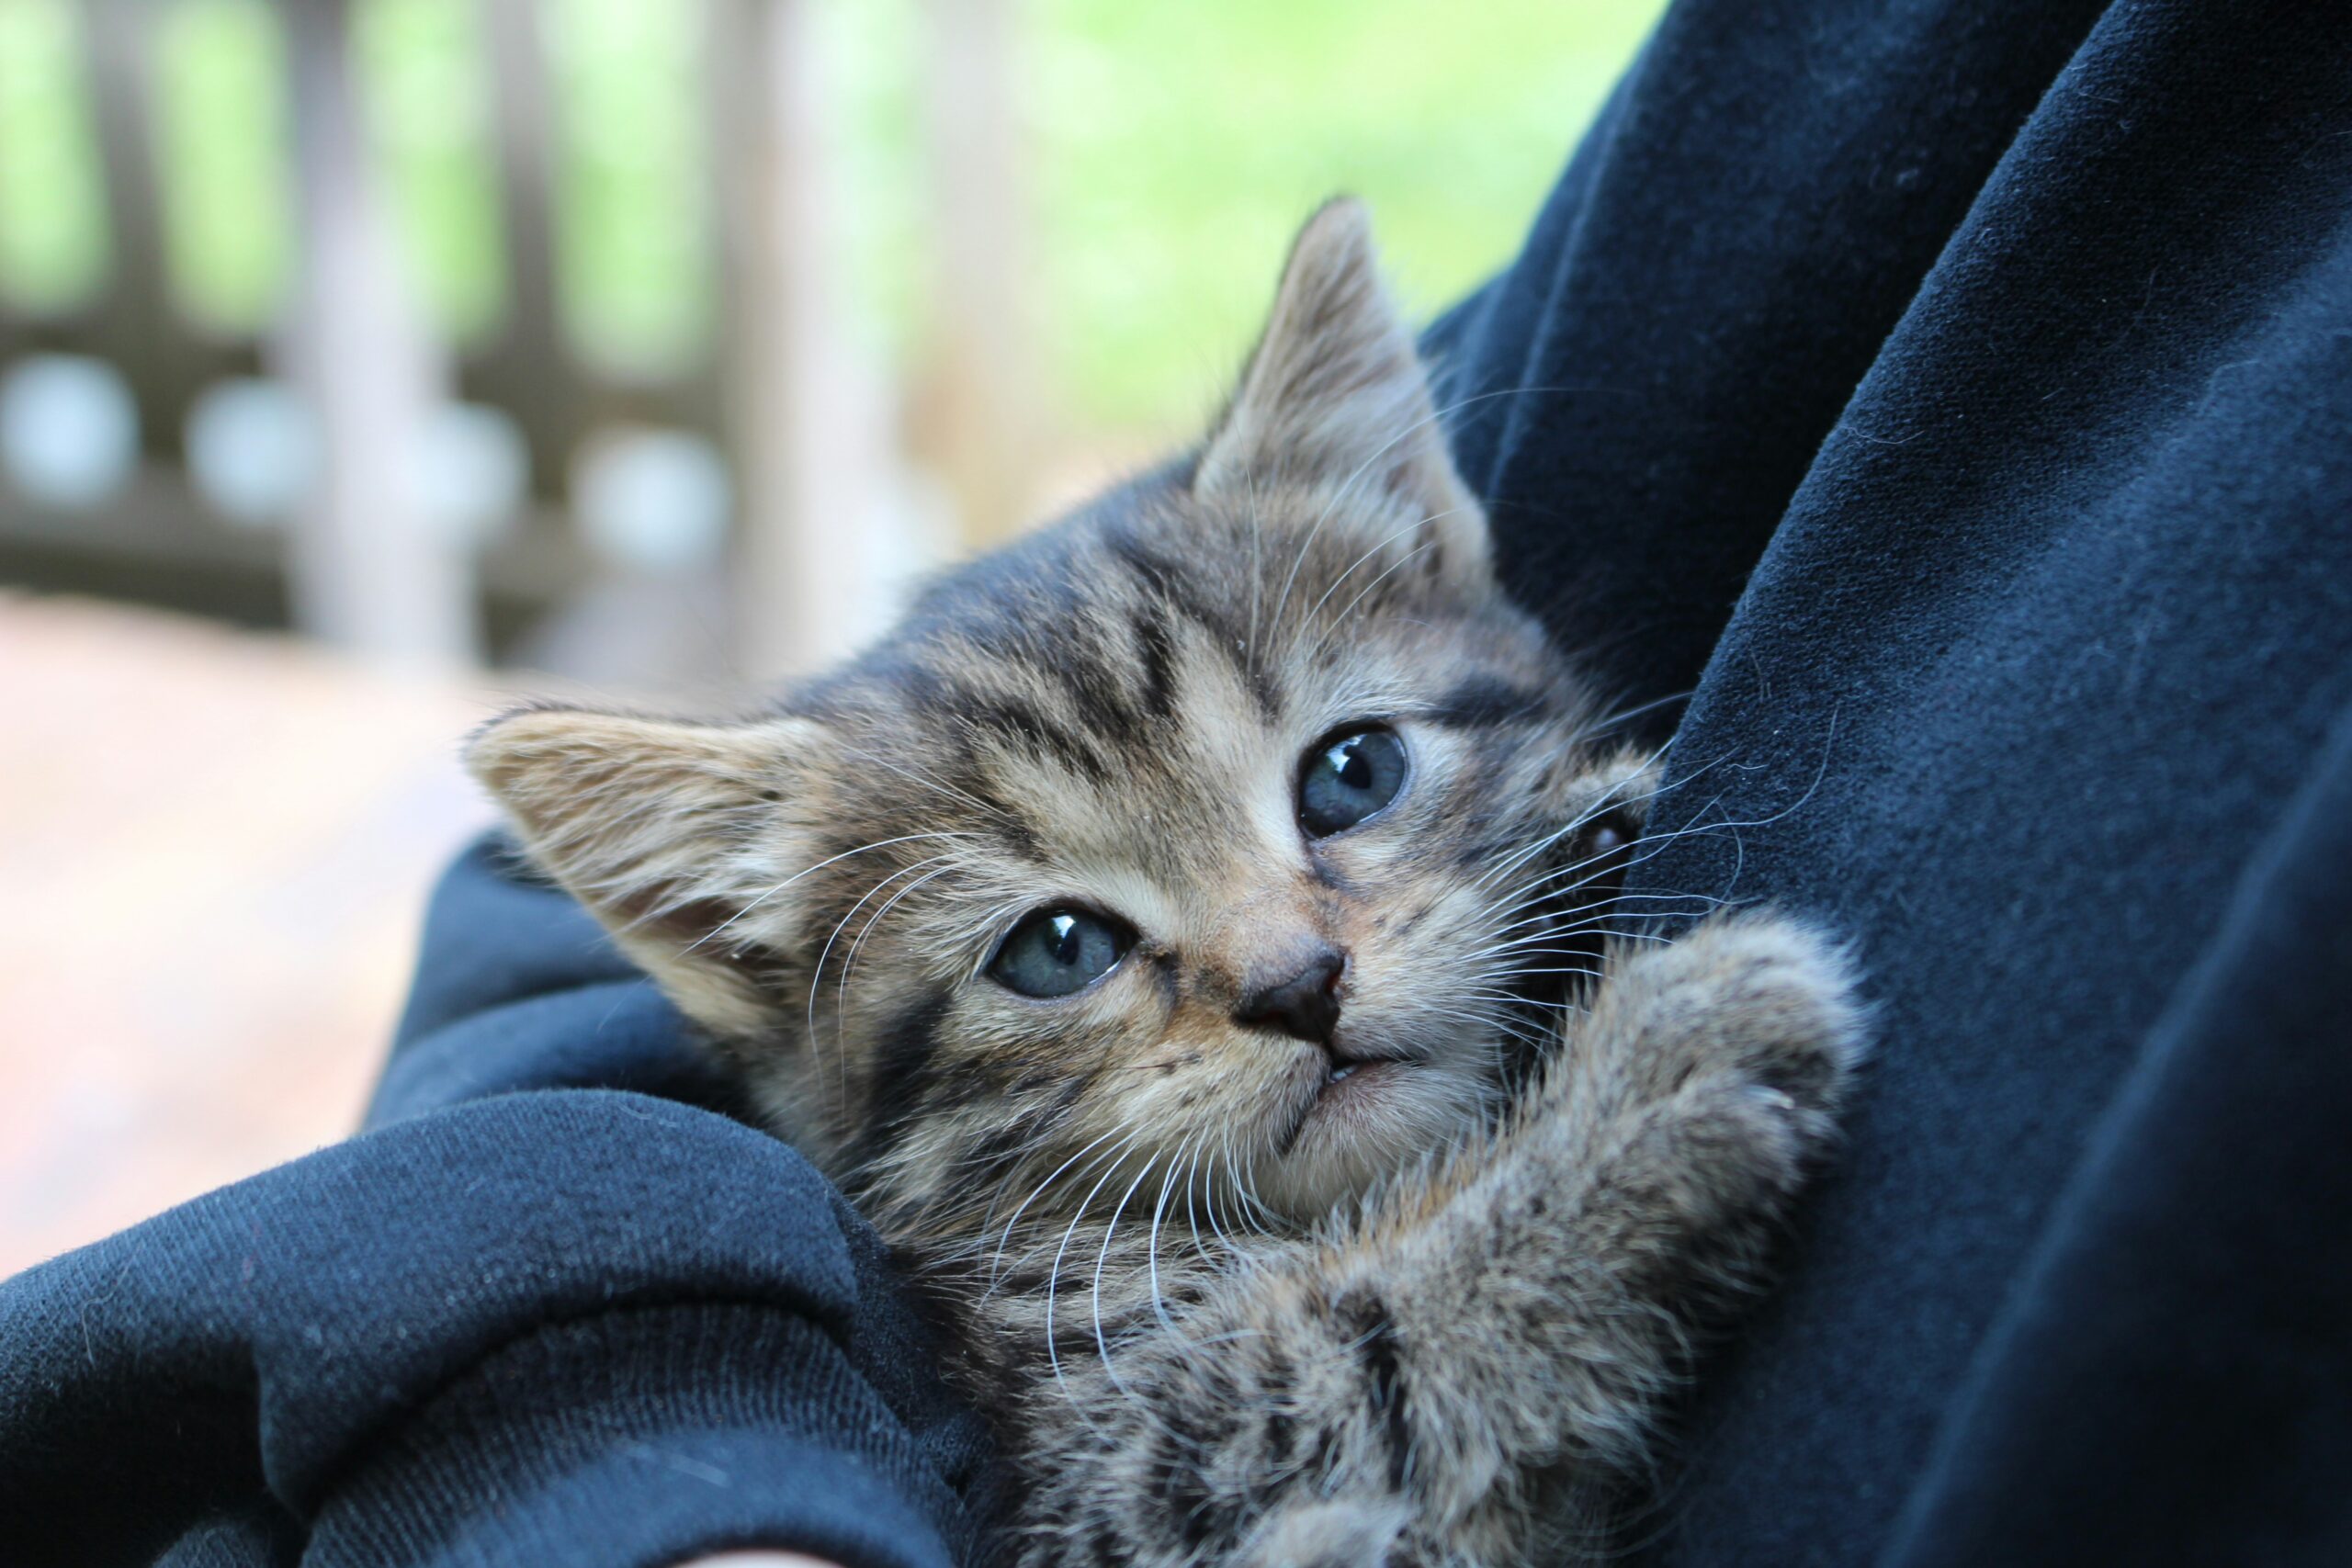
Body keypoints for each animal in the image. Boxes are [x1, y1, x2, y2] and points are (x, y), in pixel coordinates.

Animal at [468, 199, 1862, 1568]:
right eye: (1058, 948)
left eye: (1353, 773)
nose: (1299, 984)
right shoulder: (1104, 1471)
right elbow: (1350, 1351)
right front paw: (1628, 1106)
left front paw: (1587, 835)